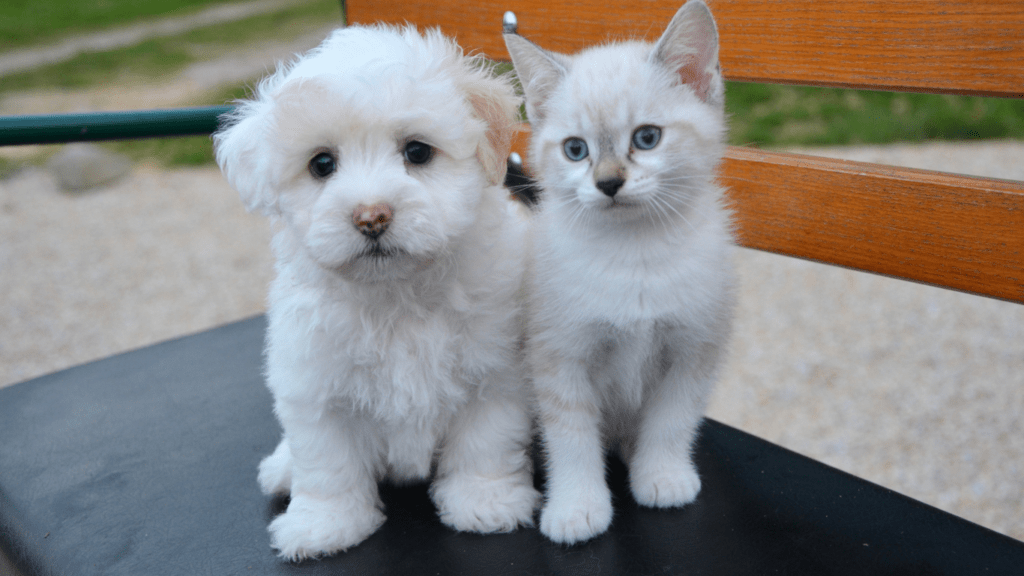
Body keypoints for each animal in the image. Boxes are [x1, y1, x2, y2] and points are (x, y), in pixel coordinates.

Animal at [212, 24, 540, 557]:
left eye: (417, 152)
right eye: (322, 164)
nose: (371, 216)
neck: (396, 297)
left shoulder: (494, 373)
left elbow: (485, 443)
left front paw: (485, 501)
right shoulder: (316, 388)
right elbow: (327, 464)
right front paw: (325, 525)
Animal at [501, 1, 729, 541]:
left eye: (646, 138)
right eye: (575, 149)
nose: (607, 183)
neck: (635, 256)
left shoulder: (694, 347)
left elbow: (671, 420)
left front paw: (662, 475)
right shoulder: (559, 355)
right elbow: (571, 437)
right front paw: (576, 507)